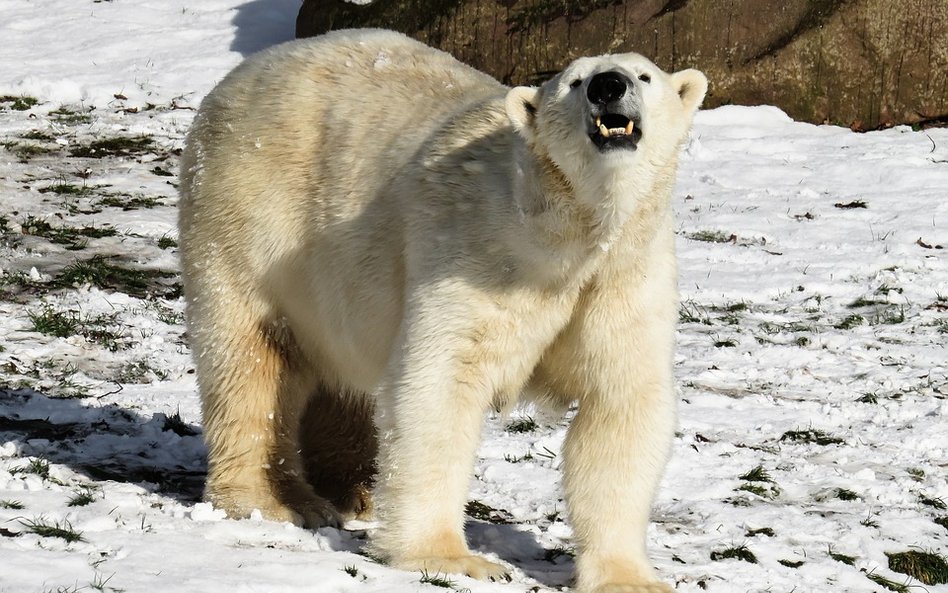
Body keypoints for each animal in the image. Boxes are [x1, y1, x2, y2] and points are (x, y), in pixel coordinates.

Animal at [178, 28, 704, 592]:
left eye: (644, 74)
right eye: (575, 81)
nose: (609, 86)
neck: (566, 236)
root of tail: (248, 69)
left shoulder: (622, 276)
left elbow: (621, 403)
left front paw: (629, 577)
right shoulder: (476, 253)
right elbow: (442, 385)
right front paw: (450, 556)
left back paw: (355, 493)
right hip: (249, 217)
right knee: (254, 359)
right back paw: (278, 500)